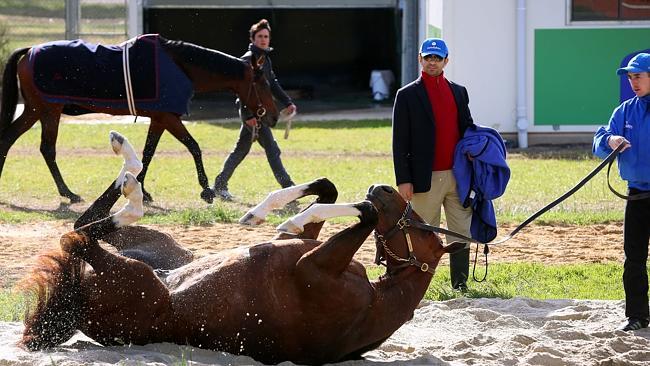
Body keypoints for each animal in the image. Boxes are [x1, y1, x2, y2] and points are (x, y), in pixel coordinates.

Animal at [0, 35, 276, 203]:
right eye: (263, 83)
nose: (273, 115)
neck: (179, 66)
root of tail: (30, 50)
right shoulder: (169, 117)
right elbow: (193, 147)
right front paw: (206, 190)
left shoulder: (159, 119)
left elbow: (148, 154)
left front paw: (142, 190)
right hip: (47, 110)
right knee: (45, 148)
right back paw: (68, 192)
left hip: (37, 111)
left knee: (12, 140)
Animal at [19, 131, 460, 364]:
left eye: (422, 229)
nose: (382, 187)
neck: (378, 298)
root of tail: (74, 305)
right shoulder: (302, 250)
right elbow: (327, 190)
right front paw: (264, 213)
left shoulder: (311, 267)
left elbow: (364, 213)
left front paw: (283, 215)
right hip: (155, 249)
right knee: (81, 226)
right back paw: (126, 159)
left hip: (134, 274)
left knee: (76, 236)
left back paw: (132, 184)